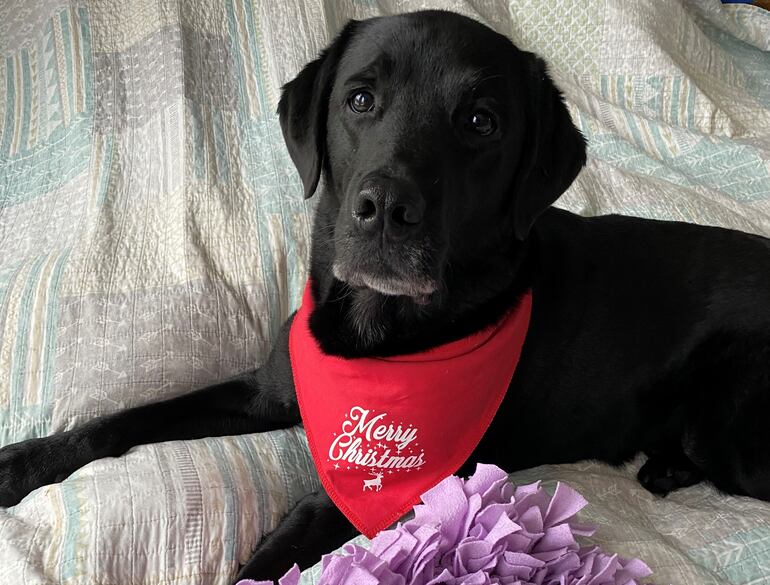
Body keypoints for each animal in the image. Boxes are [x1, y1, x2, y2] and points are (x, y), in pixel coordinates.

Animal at [1, 11, 768, 580]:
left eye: (481, 121)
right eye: (360, 98)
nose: (386, 209)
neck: (374, 332)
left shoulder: (401, 481)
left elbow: (285, 538)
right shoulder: (268, 388)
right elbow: (125, 417)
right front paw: (23, 462)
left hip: (727, 423)